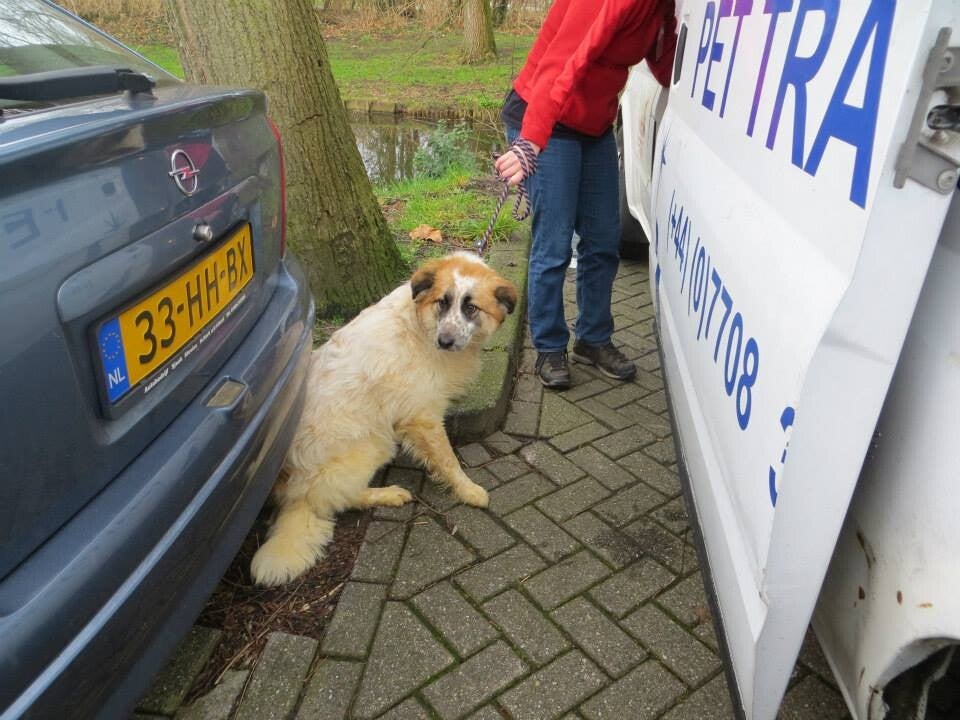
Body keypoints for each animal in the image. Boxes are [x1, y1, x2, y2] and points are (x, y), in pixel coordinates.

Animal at [250, 252, 518, 586]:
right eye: (441, 303)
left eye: (471, 308)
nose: (445, 341)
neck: (420, 327)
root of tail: (288, 488)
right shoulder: (422, 417)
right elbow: (448, 461)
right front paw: (467, 490)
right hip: (373, 444)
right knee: (336, 498)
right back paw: (388, 494)